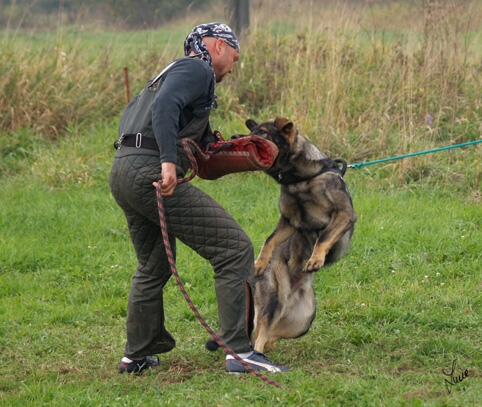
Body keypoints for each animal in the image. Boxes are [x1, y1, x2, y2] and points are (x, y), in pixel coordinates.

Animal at [245, 117, 358, 354]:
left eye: (262, 132)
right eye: (251, 131)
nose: (235, 138)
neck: (299, 179)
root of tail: (290, 294)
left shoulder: (343, 214)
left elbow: (323, 237)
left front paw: (315, 259)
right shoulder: (290, 221)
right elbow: (270, 239)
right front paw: (261, 262)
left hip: (303, 321)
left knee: (268, 334)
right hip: (274, 301)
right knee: (260, 334)